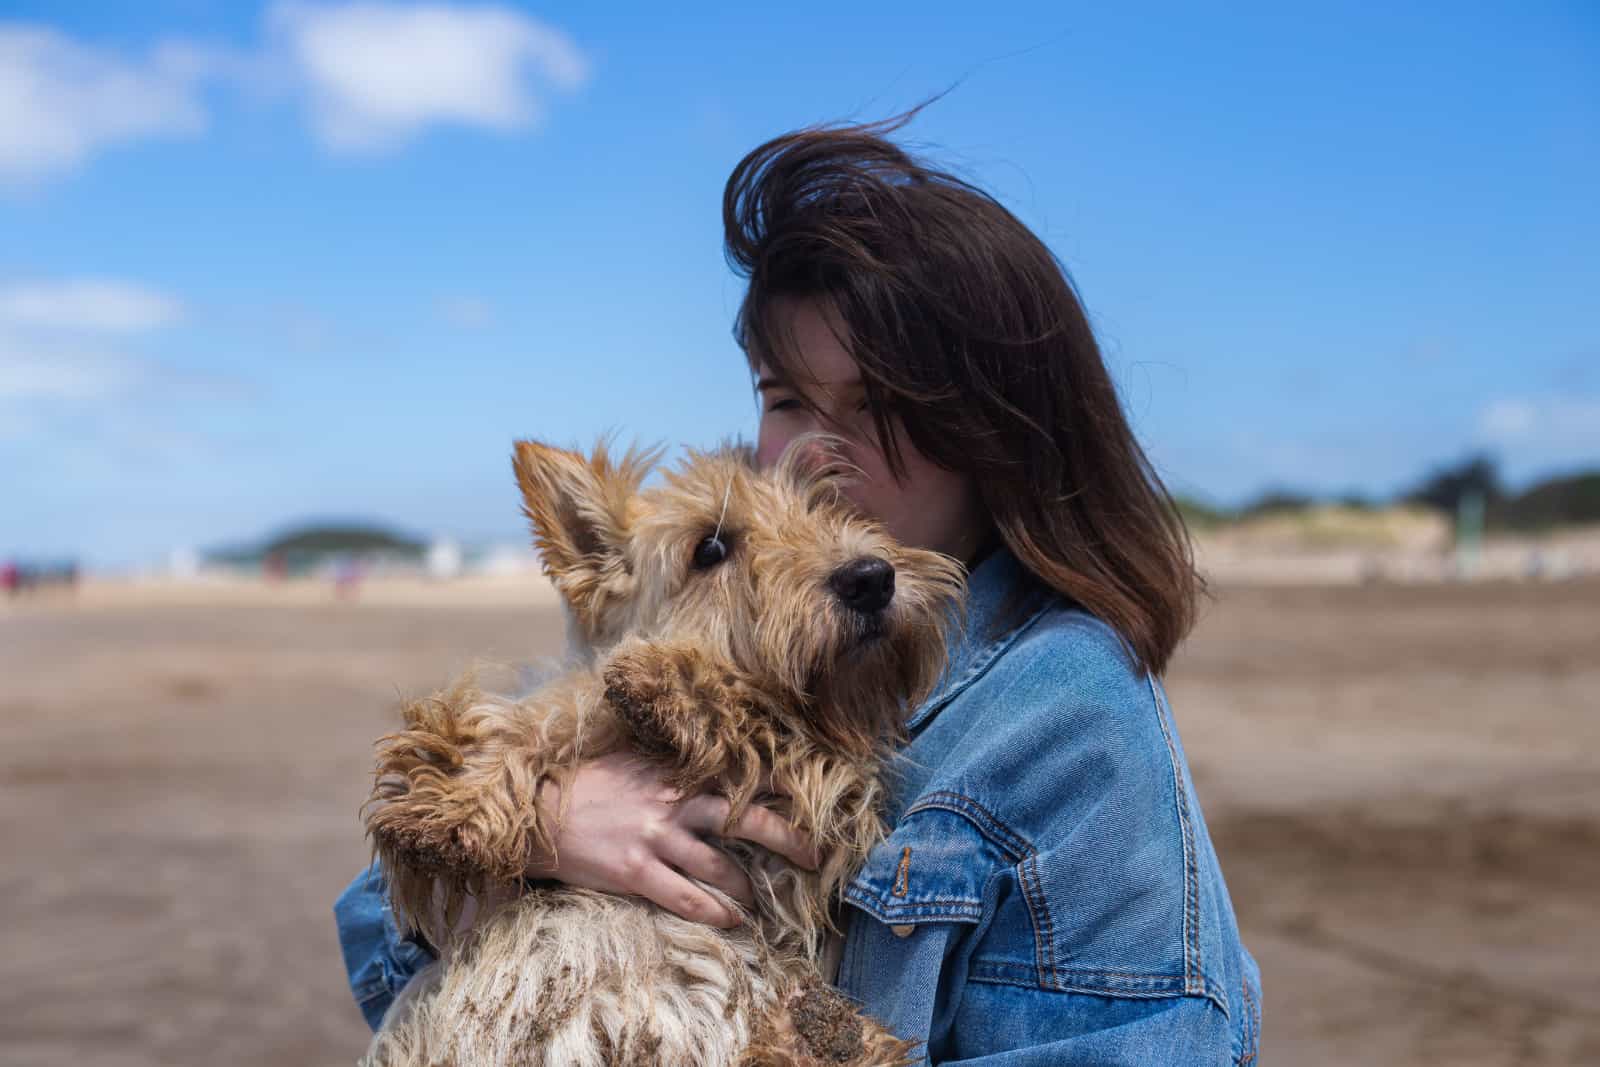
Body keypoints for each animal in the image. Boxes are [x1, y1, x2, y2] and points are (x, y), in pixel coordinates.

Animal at [360, 441, 960, 1067]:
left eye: (828, 508)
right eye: (710, 549)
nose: (870, 578)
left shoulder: (807, 835)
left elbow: (777, 732)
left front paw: (682, 683)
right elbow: (541, 714)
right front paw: (450, 797)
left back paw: (824, 1034)